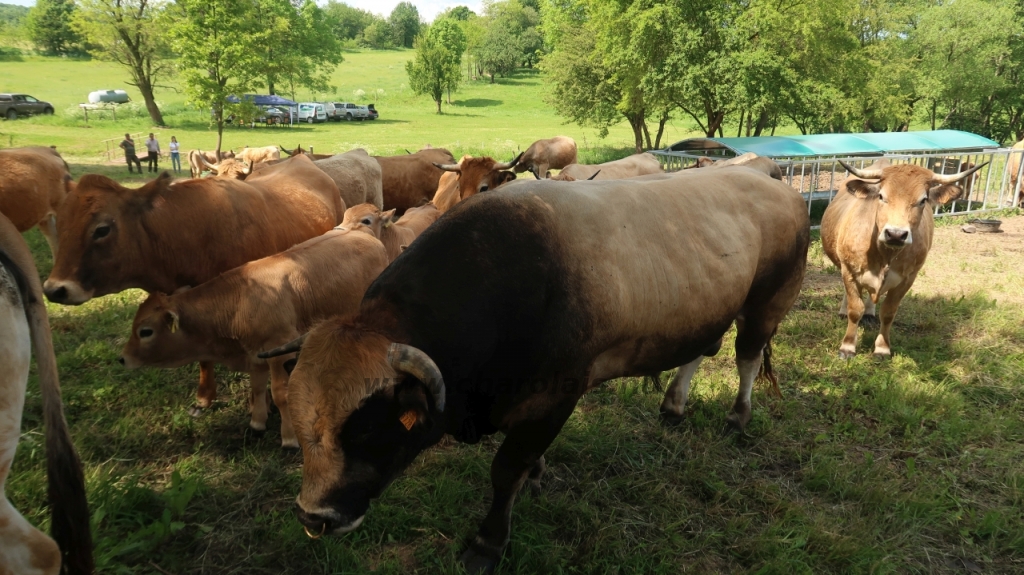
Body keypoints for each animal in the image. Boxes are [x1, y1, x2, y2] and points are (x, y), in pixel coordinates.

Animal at [119, 228, 389, 448]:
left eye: (145, 331)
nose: (122, 359)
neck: (241, 299)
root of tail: (363, 235)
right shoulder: (255, 354)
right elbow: (257, 387)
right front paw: (257, 423)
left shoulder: (279, 349)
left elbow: (281, 394)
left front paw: (289, 438)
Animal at [260, 165, 811, 568]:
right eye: (302, 425)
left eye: (368, 429)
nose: (314, 517)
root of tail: (774, 182)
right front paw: (538, 475)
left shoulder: (555, 397)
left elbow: (506, 470)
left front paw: (488, 543)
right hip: (705, 308)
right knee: (698, 350)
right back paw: (673, 404)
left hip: (768, 302)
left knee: (747, 357)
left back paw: (738, 417)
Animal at [815, 158, 983, 356]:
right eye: (881, 196)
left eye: (923, 200)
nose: (895, 234)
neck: (885, 255)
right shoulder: (849, 270)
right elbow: (854, 309)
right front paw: (847, 347)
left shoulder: (908, 279)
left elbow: (888, 313)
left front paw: (882, 348)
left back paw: (870, 313)